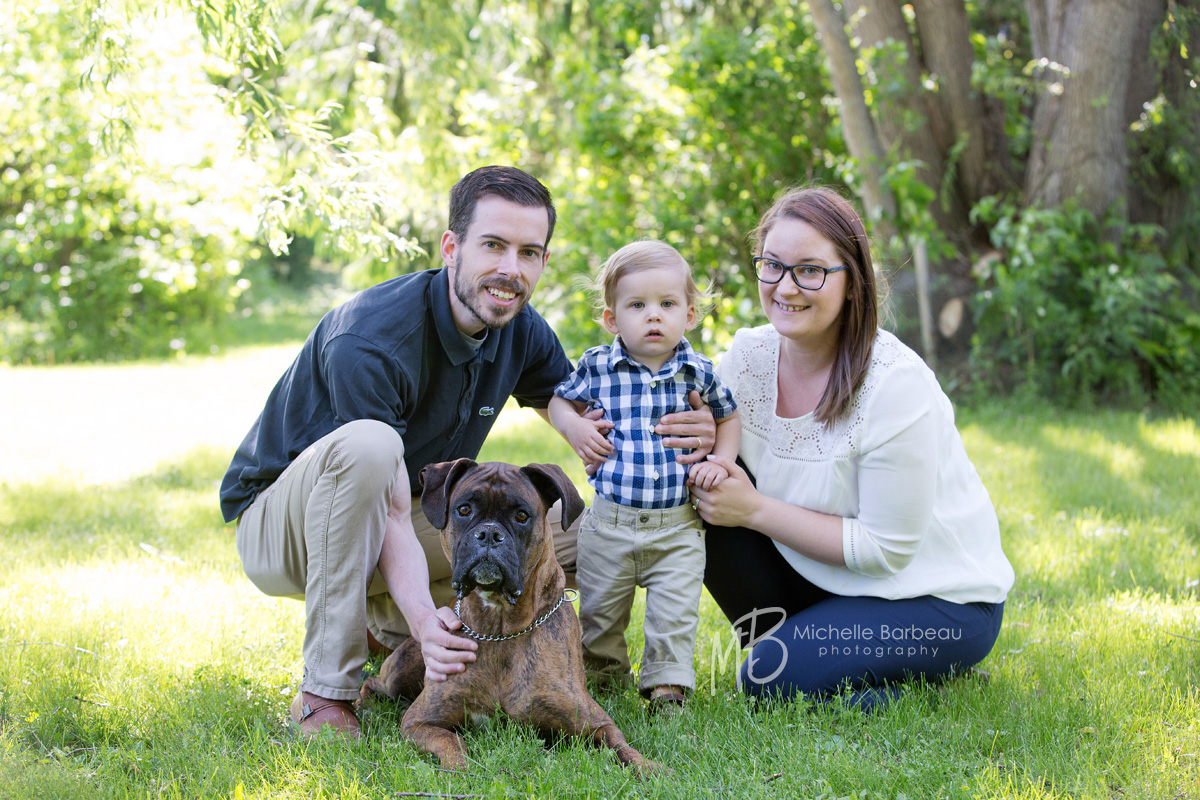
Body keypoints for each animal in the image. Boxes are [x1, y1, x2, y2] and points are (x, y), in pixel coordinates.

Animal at [357, 460, 657, 777]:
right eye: (464, 510)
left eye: (521, 516)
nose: (489, 534)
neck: (499, 628)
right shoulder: (420, 721)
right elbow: (451, 741)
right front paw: (460, 769)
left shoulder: (595, 723)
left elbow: (623, 747)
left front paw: (650, 768)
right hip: (401, 673)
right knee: (374, 682)